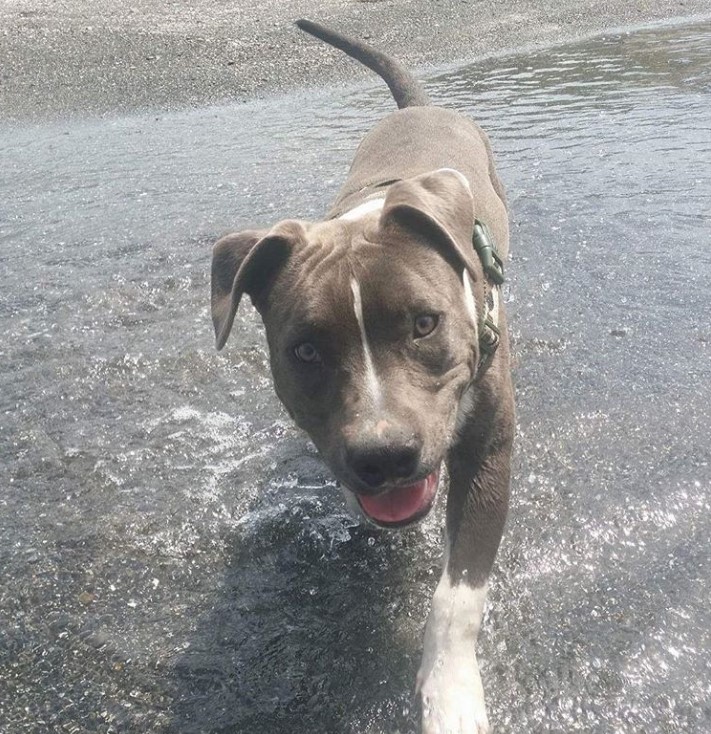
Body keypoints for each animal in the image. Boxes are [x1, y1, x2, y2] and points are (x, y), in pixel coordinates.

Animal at [209, 18, 516, 734]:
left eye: (425, 324)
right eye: (305, 351)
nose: (383, 455)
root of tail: (421, 106)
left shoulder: (490, 453)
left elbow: (458, 597)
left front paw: (450, 695)